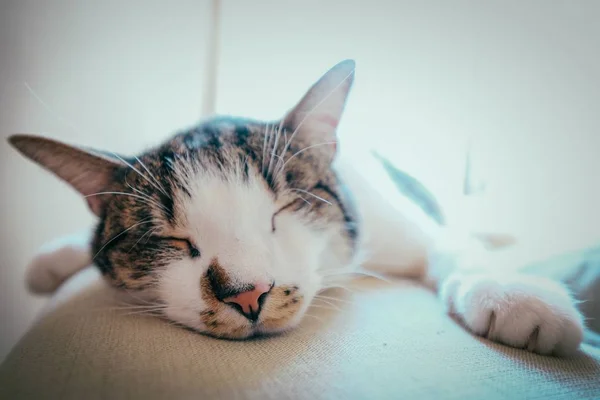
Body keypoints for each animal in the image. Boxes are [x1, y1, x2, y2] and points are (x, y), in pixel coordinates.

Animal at [8, 60, 584, 356]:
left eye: (281, 212)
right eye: (171, 240)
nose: (248, 294)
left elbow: (449, 245)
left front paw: (516, 294)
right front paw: (55, 257)